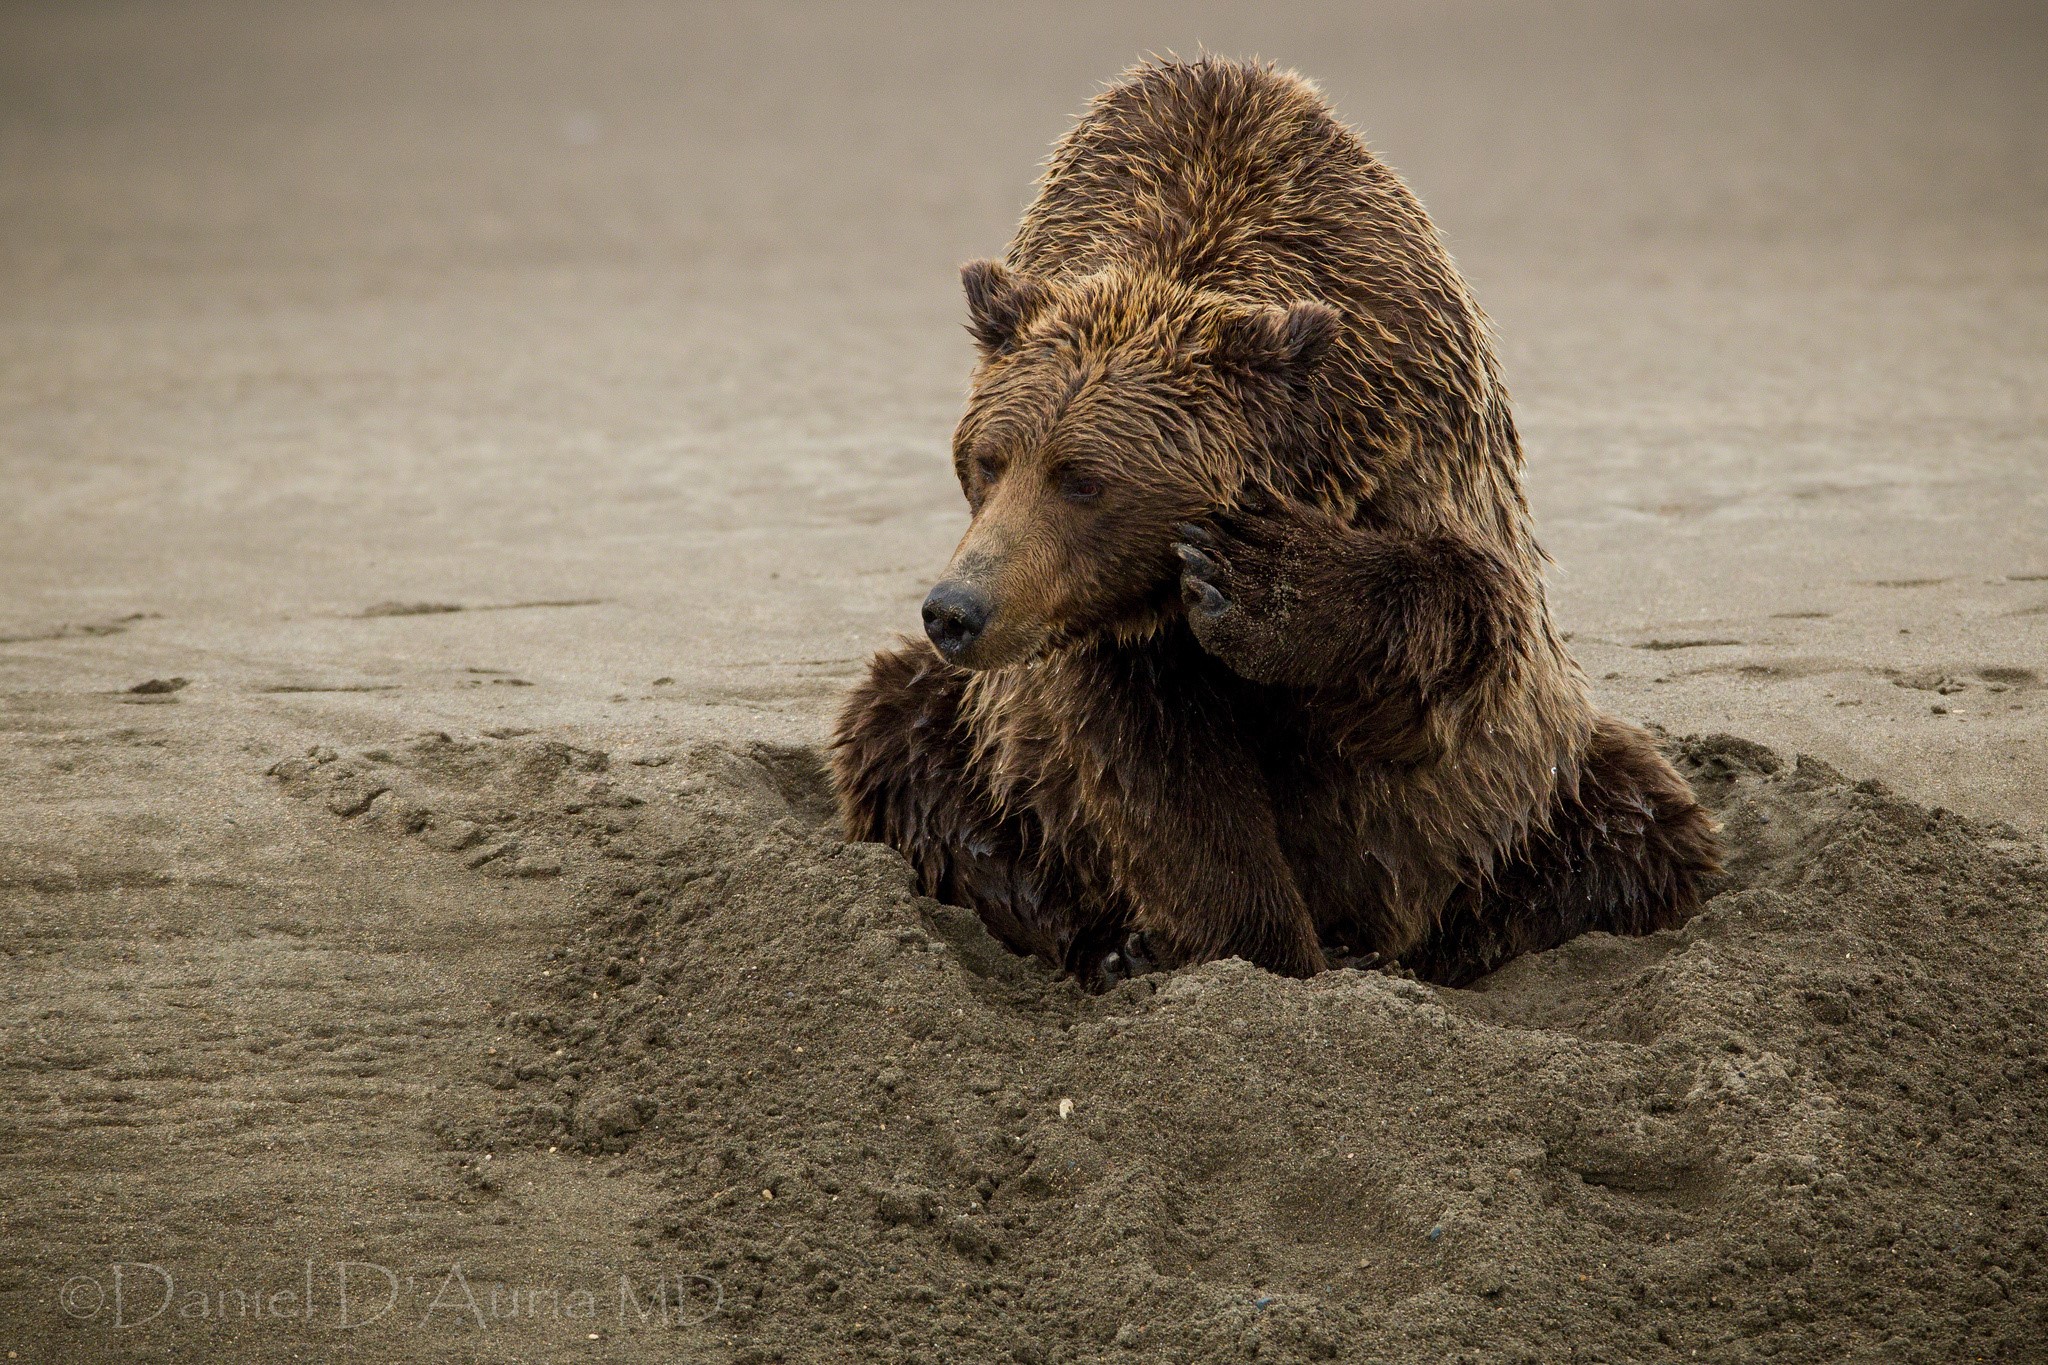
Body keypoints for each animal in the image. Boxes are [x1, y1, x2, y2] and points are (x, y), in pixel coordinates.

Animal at [832, 56, 1720, 988]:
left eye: (1083, 480)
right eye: (988, 460)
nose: (956, 609)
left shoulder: (1410, 426)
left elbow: (1462, 621)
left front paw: (1259, 582)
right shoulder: (1109, 639)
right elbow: (1162, 777)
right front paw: (1257, 948)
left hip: (1537, 790)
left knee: (1636, 829)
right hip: (980, 739)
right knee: (898, 733)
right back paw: (1111, 942)